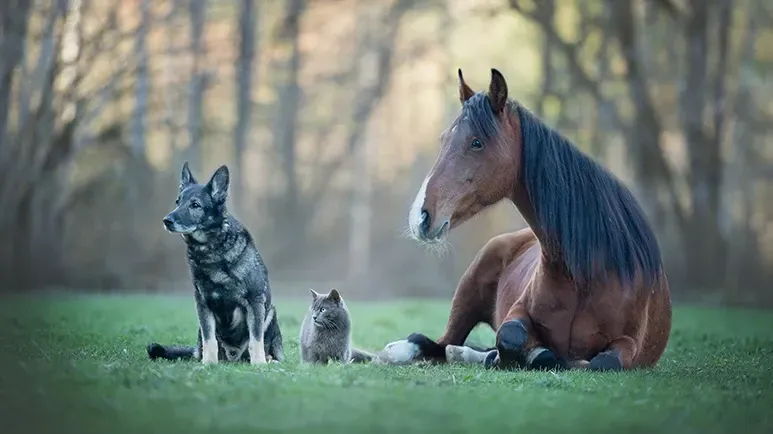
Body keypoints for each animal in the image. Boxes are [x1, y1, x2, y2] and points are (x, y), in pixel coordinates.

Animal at [146, 161, 284, 364]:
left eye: (195, 205)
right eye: (177, 202)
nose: (166, 220)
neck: (212, 250)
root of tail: (234, 358)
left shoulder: (255, 302)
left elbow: (256, 339)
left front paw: (259, 364)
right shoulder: (203, 305)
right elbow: (209, 338)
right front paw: (208, 364)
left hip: (270, 312)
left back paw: (268, 359)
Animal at [376, 69, 672, 372]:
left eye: (476, 142)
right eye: (444, 139)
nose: (421, 217)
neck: (588, 272)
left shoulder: (630, 344)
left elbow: (602, 363)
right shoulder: (517, 314)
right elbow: (513, 337)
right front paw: (524, 354)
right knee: (440, 343)